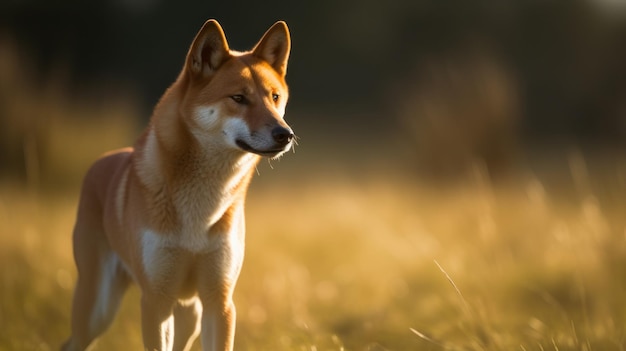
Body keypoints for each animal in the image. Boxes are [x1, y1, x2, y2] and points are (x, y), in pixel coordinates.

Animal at [60, 19, 292, 351]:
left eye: (274, 97)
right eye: (238, 98)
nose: (285, 134)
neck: (202, 206)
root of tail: (103, 159)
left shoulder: (219, 301)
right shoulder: (156, 301)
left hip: (189, 314)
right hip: (97, 308)